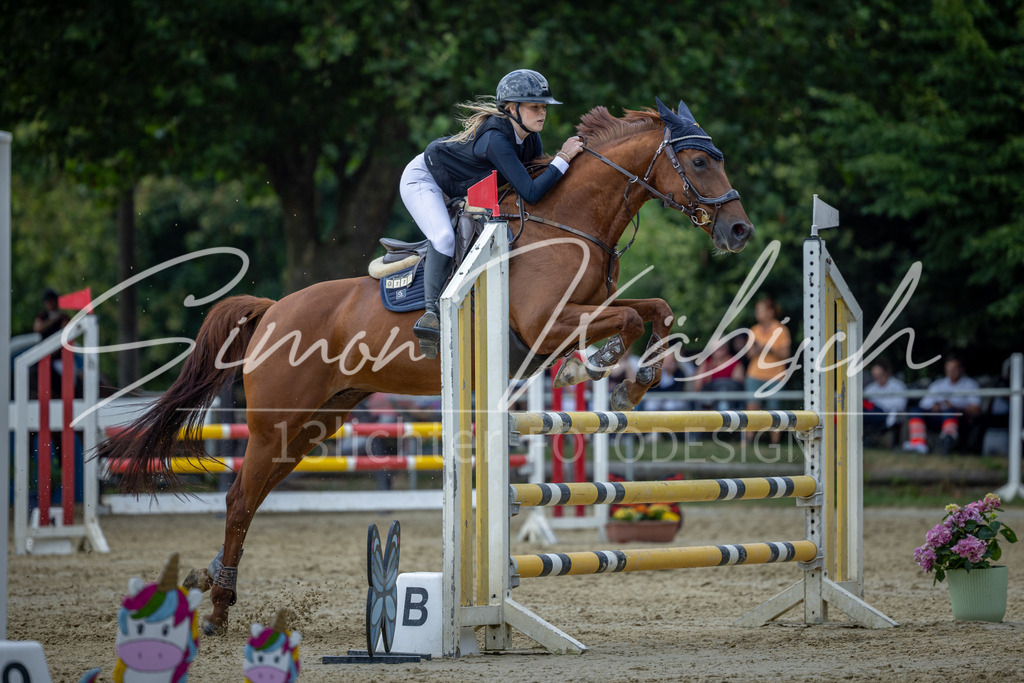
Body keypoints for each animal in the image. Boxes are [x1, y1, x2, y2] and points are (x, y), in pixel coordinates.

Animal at [102, 98, 753, 635]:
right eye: (699, 161)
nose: (739, 230)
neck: (568, 221)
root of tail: (271, 311)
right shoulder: (546, 323)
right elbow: (625, 322)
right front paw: (596, 368)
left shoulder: (584, 312)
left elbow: (653, 311)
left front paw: (629, 381)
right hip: (276, 422)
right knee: (240, 499)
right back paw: (216, 611)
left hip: (316, 423)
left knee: (252, 494)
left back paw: (212, 584)